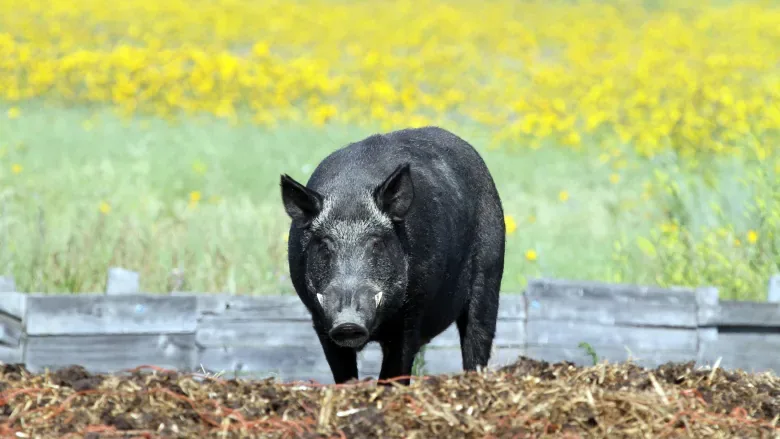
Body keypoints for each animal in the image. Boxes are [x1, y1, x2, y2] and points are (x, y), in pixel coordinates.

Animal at [280, 126, 505, 385]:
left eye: (376, 243)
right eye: (325, 246)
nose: (348, 323)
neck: (351, 195)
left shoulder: (413, 311)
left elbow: (395, 370)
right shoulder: (319, 318)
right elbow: (343, 374)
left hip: (490, 271)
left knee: (477, 336)